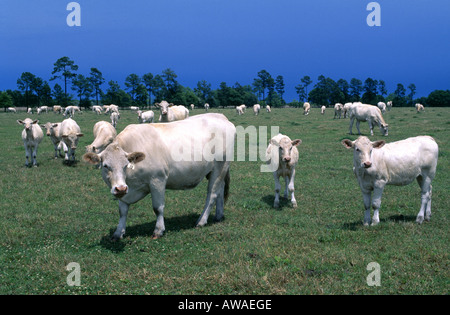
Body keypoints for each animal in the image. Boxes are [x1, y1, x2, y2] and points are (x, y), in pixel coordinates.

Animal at [85, 115, 239, 241]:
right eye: (106, 166)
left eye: (126, 165)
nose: (120, 188)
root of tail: (221, 118)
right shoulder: (125, 190)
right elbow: (122, 211)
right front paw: (118, 233)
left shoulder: (157, 180)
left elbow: (157, 208)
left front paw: (158, 230)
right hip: (217, 171)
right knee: (220, 190)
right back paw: (218, 216)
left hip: (220, 166)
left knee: (212, 194)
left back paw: (201, 221)